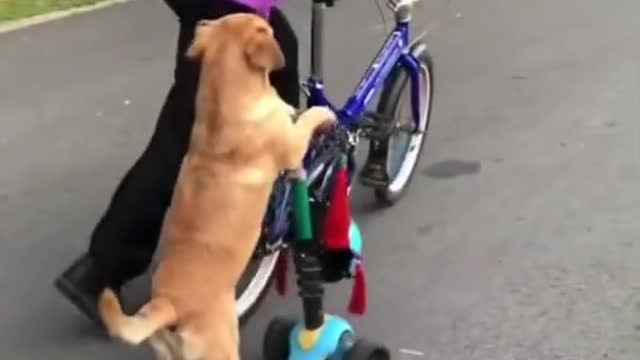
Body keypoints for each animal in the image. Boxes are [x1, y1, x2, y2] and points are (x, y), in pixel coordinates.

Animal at [97, 12, 336, 358]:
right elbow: (307, 118)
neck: (222, 112)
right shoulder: (291, 145)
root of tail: (168, 305)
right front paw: (322, 111)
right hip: (221, 344)